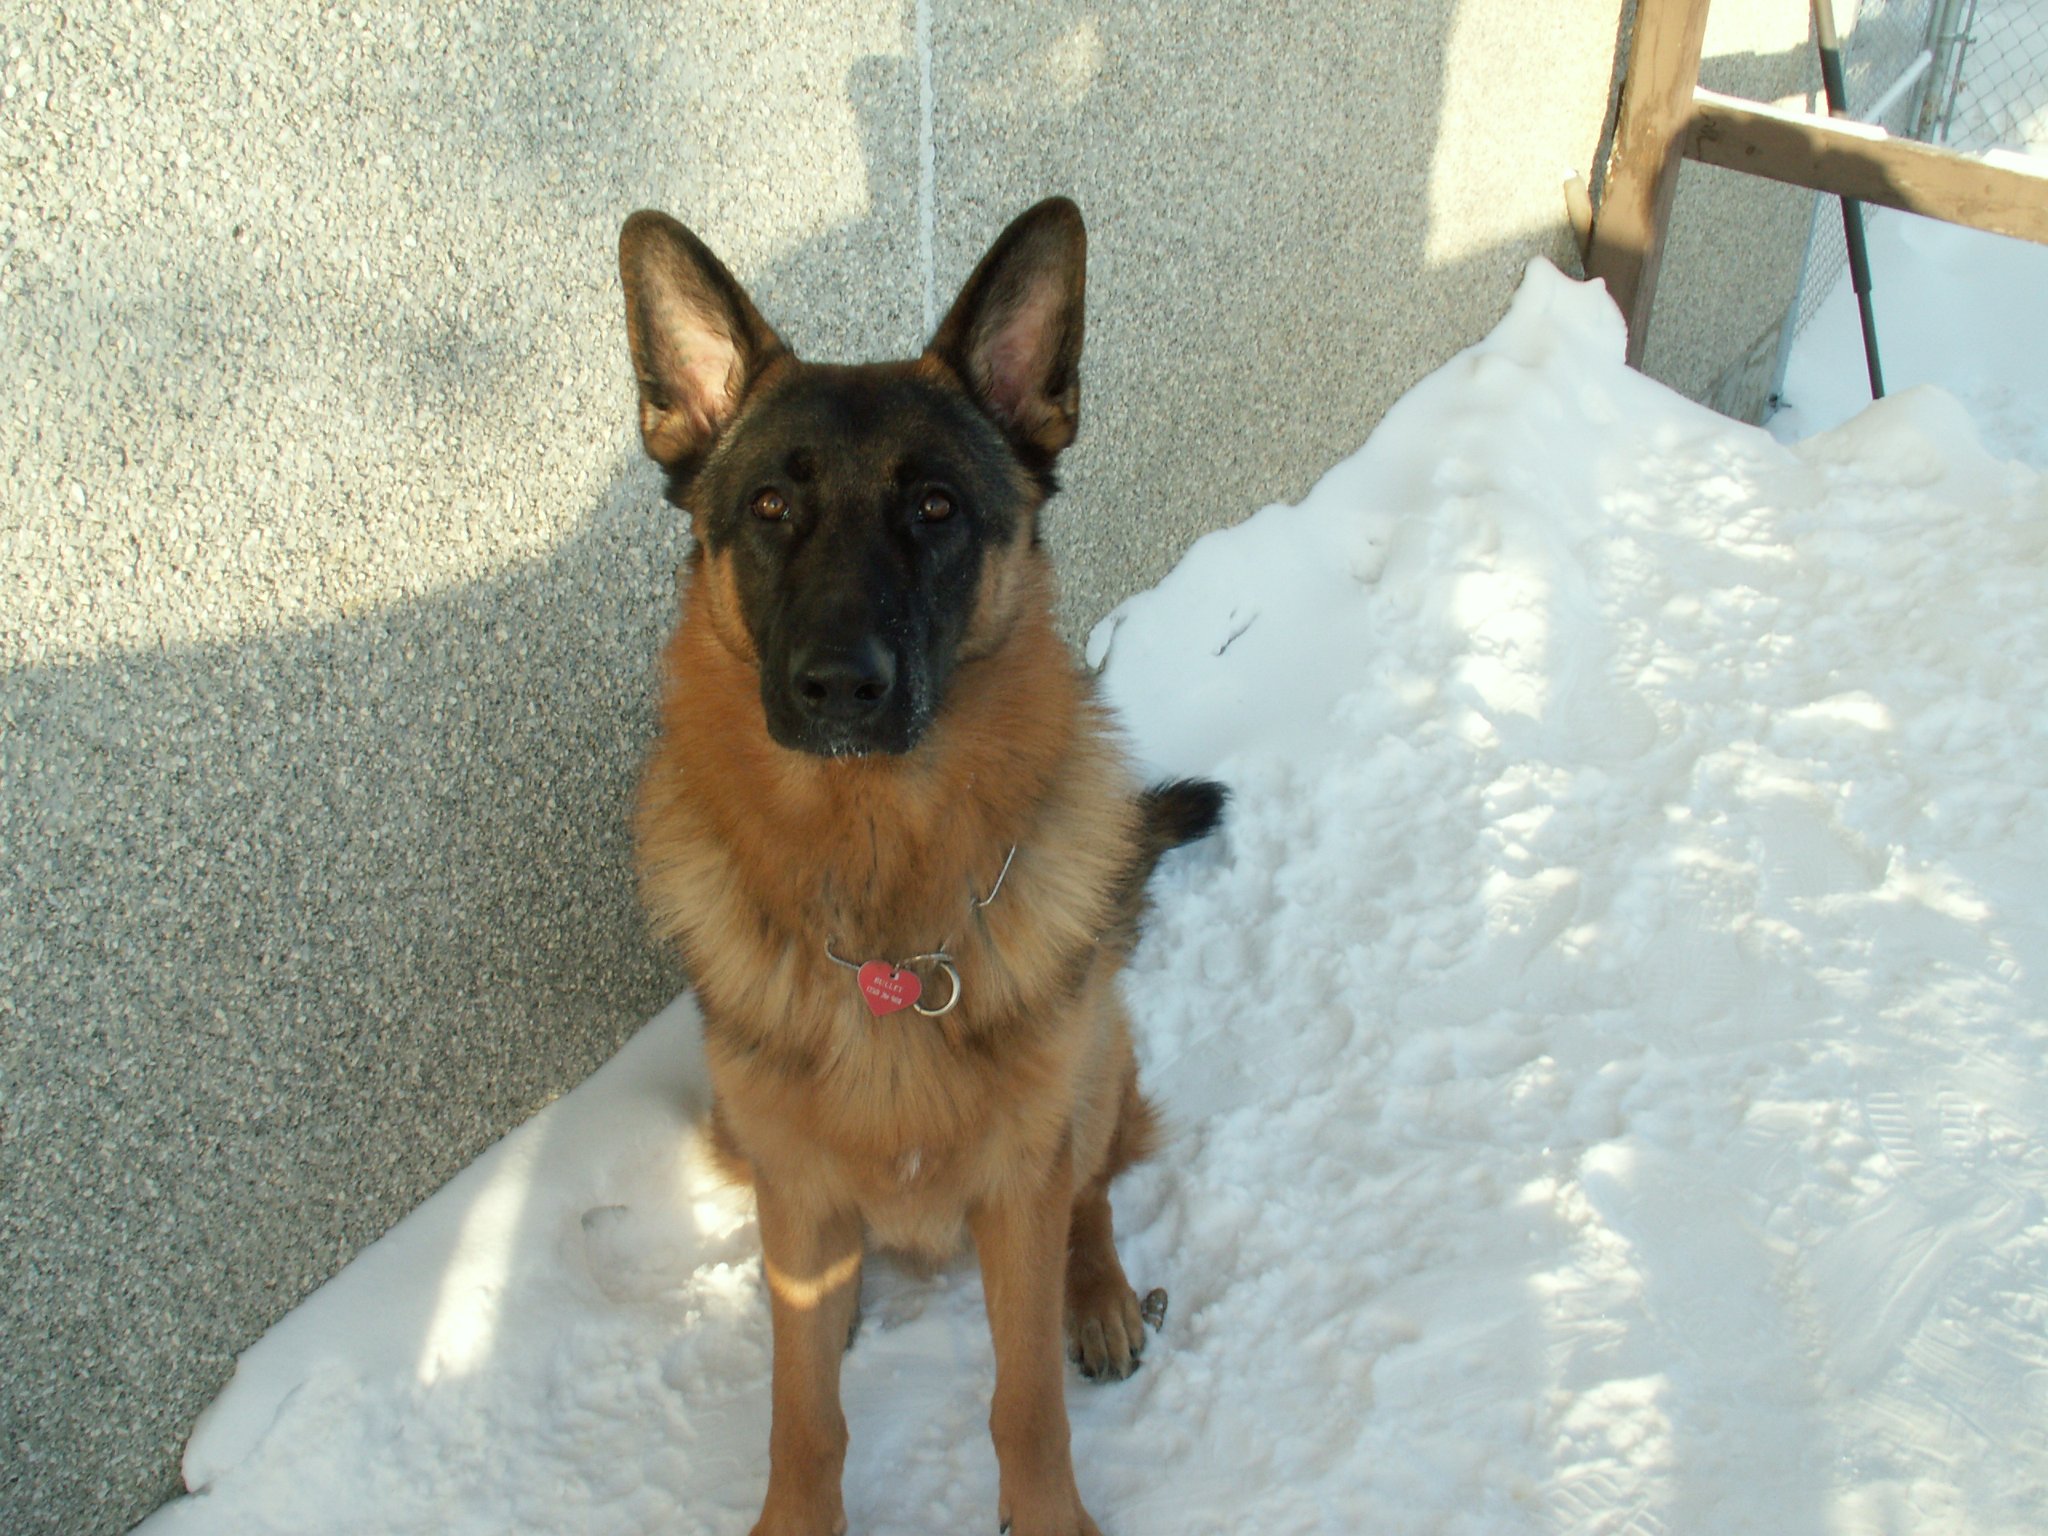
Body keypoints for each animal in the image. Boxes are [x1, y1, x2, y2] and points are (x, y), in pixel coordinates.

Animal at [619, 197, 1224, 1536]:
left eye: (936, 509)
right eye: (769, 509)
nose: (838, 689)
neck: (882, 895)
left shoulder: (1016, 1184)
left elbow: (1023, 1399)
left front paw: (1047, 1510)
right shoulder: (791, 1183)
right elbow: (802, 1416)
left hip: (1089, 1073)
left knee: (1094, 1191)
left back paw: (1100, 1295)